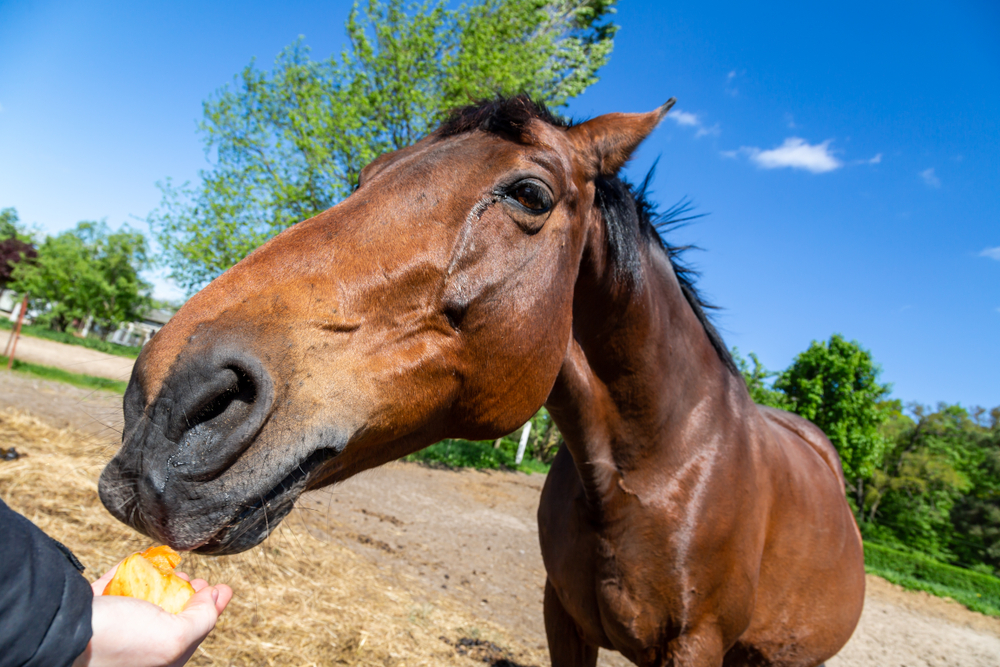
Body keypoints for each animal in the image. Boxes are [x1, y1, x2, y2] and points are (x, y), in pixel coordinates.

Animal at [99, 95, 865, 666]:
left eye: (530, 193)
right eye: (368, 174)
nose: (167, 403)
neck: (661, 466)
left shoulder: (695, 648)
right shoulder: (564, 618)